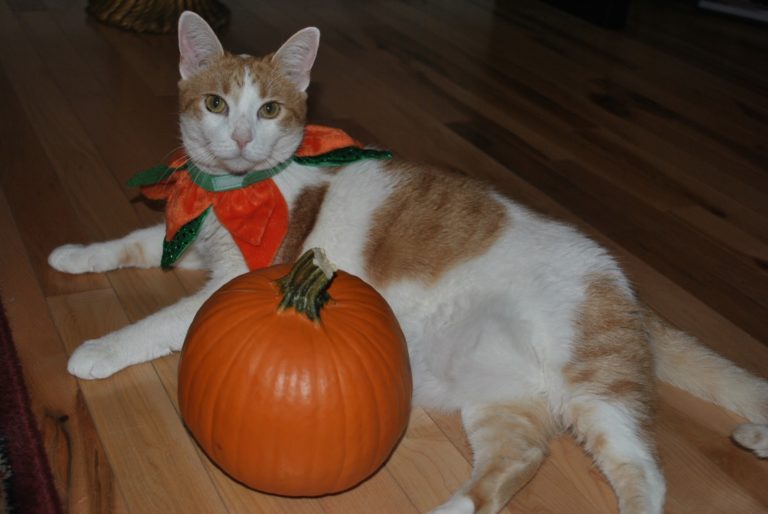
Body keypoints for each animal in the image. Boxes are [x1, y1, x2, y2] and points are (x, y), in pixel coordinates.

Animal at [49, 9, 768, 512]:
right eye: (217, 104)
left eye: (271, 109)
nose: (245, 138)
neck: (238, 193)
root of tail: (628, 288)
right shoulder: (194, 239)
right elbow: (136, 242)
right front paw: (74, 255)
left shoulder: (237, 279)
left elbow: (163, 321)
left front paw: (99, 349)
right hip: (506, 398)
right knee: (516, 463)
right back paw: (451, 508)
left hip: (594, 387)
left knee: (643, 470)